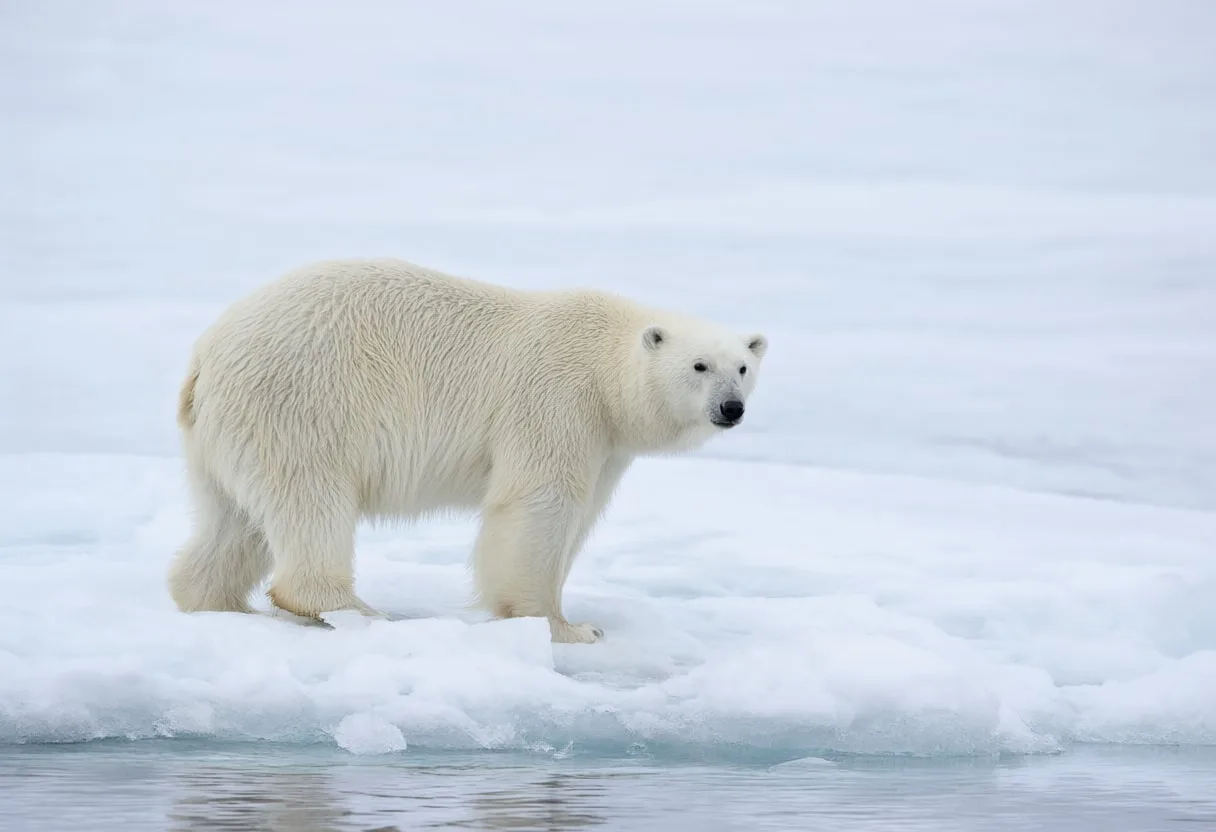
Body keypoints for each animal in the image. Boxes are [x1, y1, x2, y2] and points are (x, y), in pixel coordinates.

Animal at [167, 258, 767, 643]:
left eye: (742, 366)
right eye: (699, 366)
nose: (731, 408)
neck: (604, 365)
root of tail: (205, 354)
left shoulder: (606, 442)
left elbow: (583, 511)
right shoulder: (558, 399)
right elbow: (539, 504)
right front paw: (567, 627)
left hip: (228, 434)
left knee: (234, 520)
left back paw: (215, 602)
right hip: (304, 404)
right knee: (310, 500)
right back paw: (360, 611)